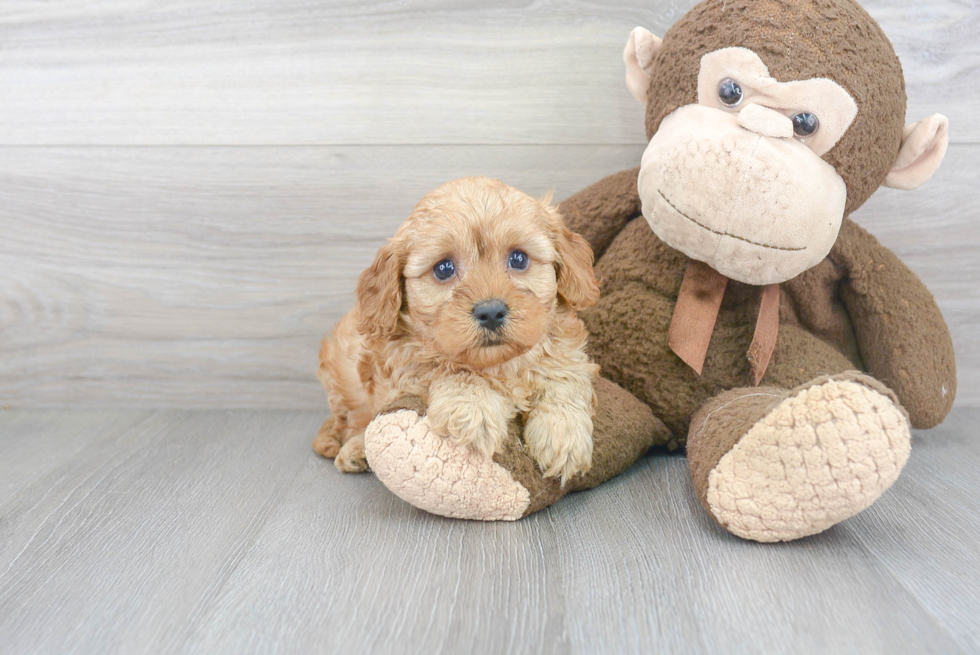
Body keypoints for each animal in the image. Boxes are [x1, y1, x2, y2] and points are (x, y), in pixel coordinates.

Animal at [318, 177, 600, 484]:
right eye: (443, 268)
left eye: (518, 259)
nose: (490, 312)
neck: (497, 365)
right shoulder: (401, 365)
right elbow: (446, 369)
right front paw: (471, 407)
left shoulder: (566, 352)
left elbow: (563, 377)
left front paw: (563, 435)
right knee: (350, 421)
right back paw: (354, 448)